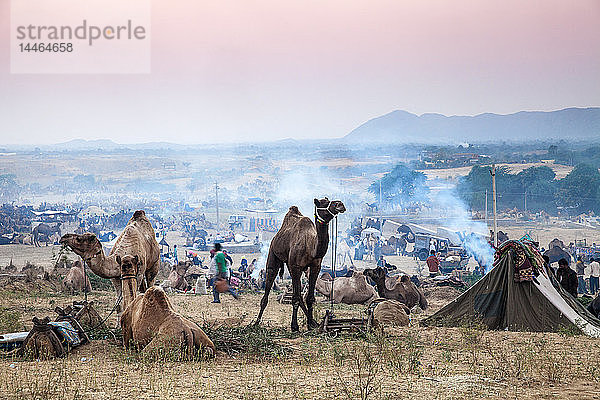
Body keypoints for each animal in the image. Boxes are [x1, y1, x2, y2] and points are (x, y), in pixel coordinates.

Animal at [254, 197, 346, 332]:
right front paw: (295, 326)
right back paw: (256, 322)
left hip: (291, 266)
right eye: (323, 202)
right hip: (273, 255)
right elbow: (295, 298)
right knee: (270, 281)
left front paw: (310, 324)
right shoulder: (296, 267)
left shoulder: (315, 267)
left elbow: (309, 298)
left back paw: (314, 322)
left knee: (299, 294)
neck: (311, 247)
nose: (340, 204)